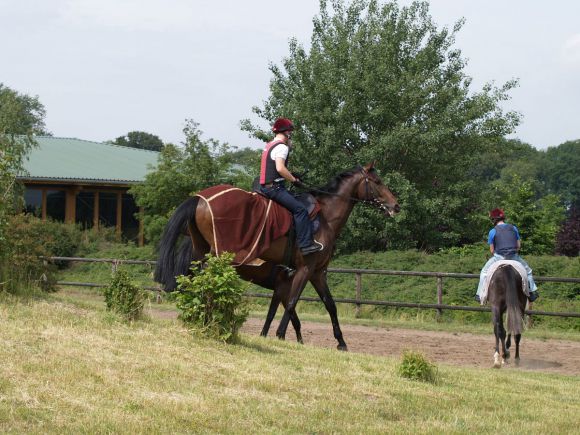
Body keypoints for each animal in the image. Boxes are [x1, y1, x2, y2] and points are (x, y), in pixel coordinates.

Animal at [154, 164, 398, 350]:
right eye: (377, 181)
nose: (395, 205)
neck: (325, 218)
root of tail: (200, 198)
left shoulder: (316, 273)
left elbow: (329, 305)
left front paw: (341, 342)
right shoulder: (302, 272)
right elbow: (291, 305)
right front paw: (281, 336)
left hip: (202, 253)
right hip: (217, 257)